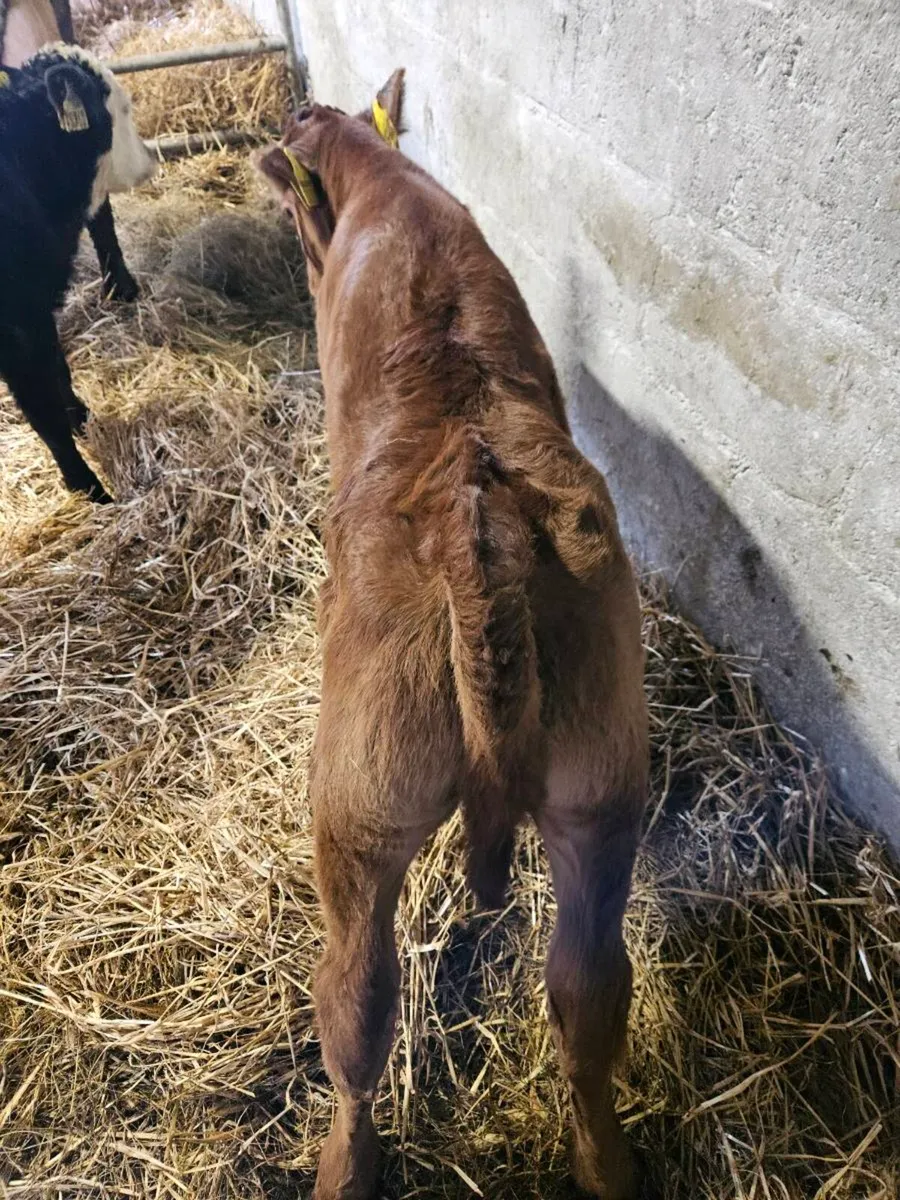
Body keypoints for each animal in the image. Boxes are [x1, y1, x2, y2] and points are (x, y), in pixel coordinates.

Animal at [0, 45, 155, 500]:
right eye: (123, 108)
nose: (150, 160)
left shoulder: (36, 308)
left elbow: (58, 370)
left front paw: (82, 418)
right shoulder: (17, 329)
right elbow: (43, 411)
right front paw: (90, 489)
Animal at [256, 71, 649, 1200]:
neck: (384, 180)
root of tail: (482, 524)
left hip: (357, 815)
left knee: (356, 1005)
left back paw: (343, 1166)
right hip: (601, 792)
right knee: (588, 993)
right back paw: (605, 1162)